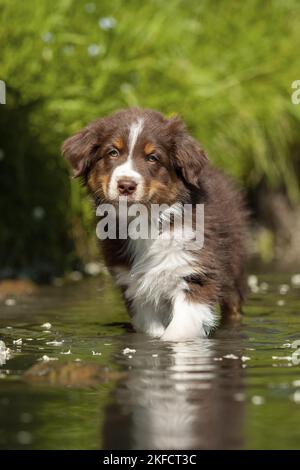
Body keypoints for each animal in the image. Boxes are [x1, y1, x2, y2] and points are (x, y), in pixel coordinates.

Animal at [62, 108, 247, 340]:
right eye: (113, 152)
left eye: (152, 158)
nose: (126, 185)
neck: (145, 222)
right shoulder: (134, 285)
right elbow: (151, 330)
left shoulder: (196, 272)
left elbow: (178, 331)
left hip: (233, 270)